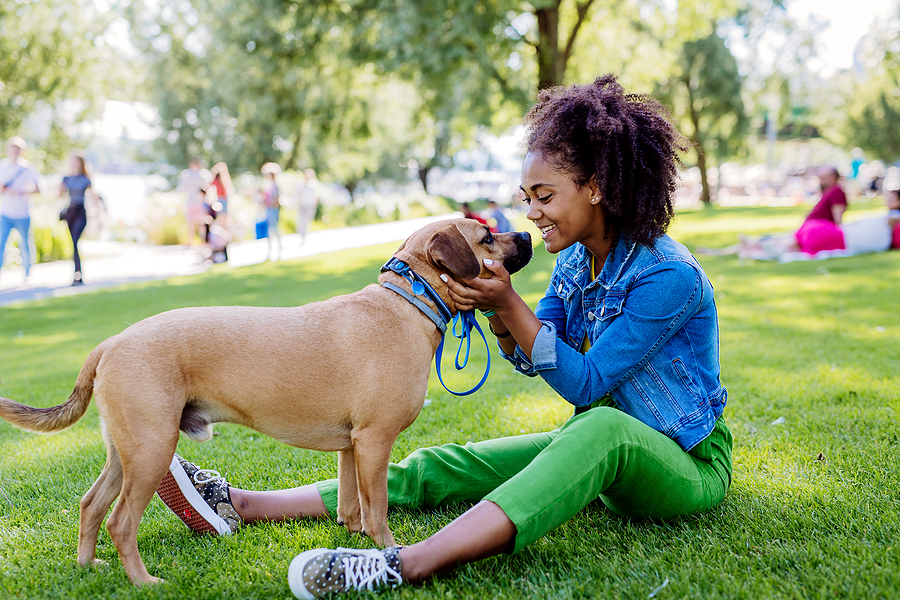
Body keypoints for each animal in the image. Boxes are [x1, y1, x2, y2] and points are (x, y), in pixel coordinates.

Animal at [0, 217, 536, 584]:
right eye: (487, 238)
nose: (528, 236)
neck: (406, 302)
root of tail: (111, 342)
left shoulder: (352, 447)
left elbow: (352, 508)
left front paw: (355, 547)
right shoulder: (375, 442)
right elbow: (378, 509)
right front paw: (389, 551)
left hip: (126, 451)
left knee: (91, 507)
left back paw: (89, 568)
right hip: (151, 450)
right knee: (119, 522)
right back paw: (143, 581)